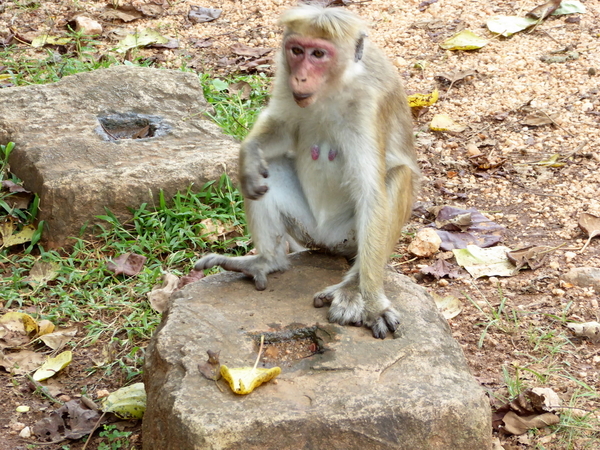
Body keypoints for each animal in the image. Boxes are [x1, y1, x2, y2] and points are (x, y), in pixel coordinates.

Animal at [195, 3, 420, 340]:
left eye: (318, 54)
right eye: (297, 51)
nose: (300, 77)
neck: (334, 89)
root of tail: (325, 241)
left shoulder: (368, 106)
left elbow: (371, 192)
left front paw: (372, 304)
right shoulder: (284, 80)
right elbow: (282, 128)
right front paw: (247, 154)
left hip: (346, 237)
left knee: (396, 178)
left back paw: (352, 287)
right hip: (308, 228)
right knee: (268, 172)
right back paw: (267, 262)